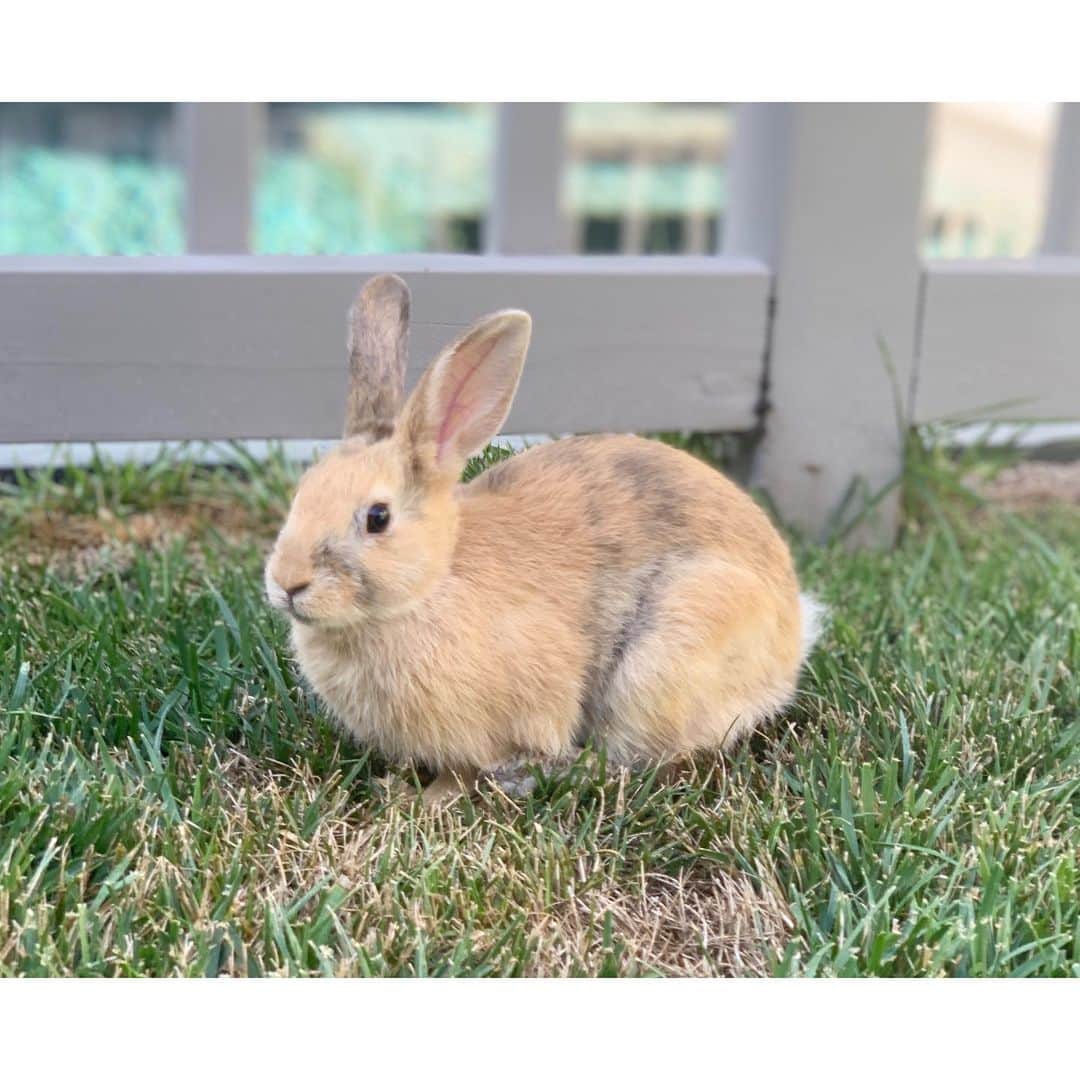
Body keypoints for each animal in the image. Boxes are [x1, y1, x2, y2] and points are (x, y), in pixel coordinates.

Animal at [265, 273, 823, 805]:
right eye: (302, 493)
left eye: (377, 517)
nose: (288, 584)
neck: (432, 584)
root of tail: (792, 636)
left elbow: (461, 773)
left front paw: (422, 799)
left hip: (668, 655)